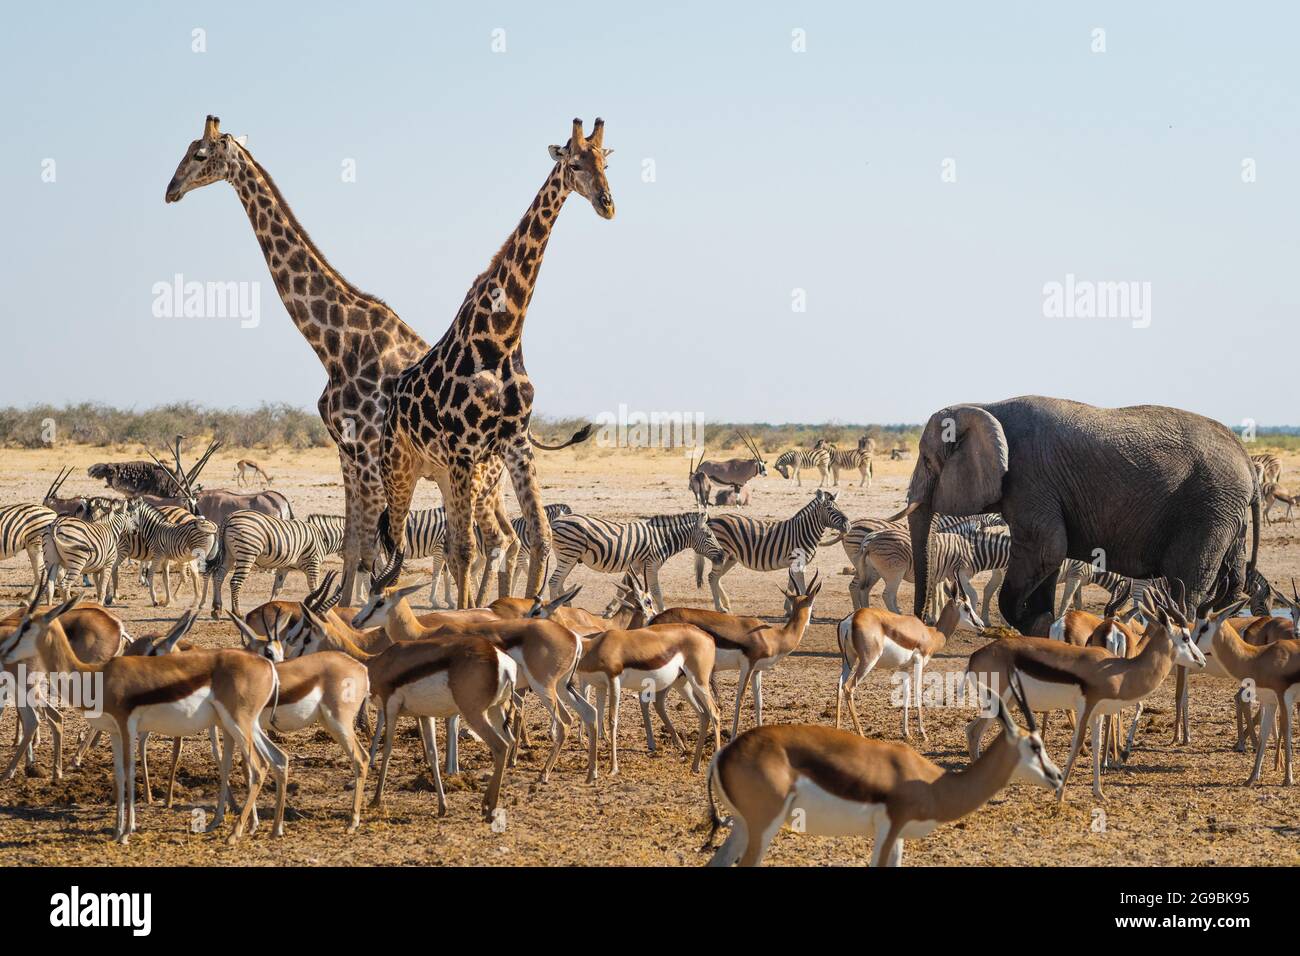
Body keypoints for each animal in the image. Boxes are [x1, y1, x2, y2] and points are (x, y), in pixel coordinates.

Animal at [162, 115, 548, 600]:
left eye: (199, 154)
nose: (171, 189)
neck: (334, 342)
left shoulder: (366, 453)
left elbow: (369, 550)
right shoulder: (346, 452)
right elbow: (352, 547)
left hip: (478, 475)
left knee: (496, 538)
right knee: (504, 537)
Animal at [379, 117, 613, 606]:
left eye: (605, 160)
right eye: (573, 163)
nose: (607, 204)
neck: (502, 337)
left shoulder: (515, 443)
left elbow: (539, 536)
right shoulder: (463, 449)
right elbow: (466, 549)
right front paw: (465, 615)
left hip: (444, 474)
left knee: (452, 541)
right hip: (402, 467)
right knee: (394, 543)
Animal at [548, 509, 728, 613]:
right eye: (709, 535)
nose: (722, 556)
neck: (662, 539)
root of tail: (557, 519)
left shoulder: (634, 566)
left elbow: (622, 588)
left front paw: (609, 609)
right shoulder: (651, 565)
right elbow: (656, 591)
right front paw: (662, 611)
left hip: (568, 556)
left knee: (559, 581)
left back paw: (565, 606)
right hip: (569, 553)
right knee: (553, 581)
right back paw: (556, 610)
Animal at [702, 494, 852, 613]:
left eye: (839, 507)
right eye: (830, 509)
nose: (848, 525)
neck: (804, 531)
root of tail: (712, 519)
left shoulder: (794, 563)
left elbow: (791, 585)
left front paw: (789, 609)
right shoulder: (798, 561)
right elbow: (802, 586)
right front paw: (806, 608)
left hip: (731, 557)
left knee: (717, 577)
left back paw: (726, 604)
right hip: (722, 554)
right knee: (712, 577)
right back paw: (720, 607)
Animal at [894, 395, 1258, 634]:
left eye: (927, 460)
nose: (923, 622)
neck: (985, 405)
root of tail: (1245, 454)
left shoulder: (1031, 479)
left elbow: (1047, 549)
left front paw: (1035, 625)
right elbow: (1051, 557)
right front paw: (1041, 628)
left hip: (1210, 507)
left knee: (1188, 580)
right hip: (1225, 512)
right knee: (1230, 580)